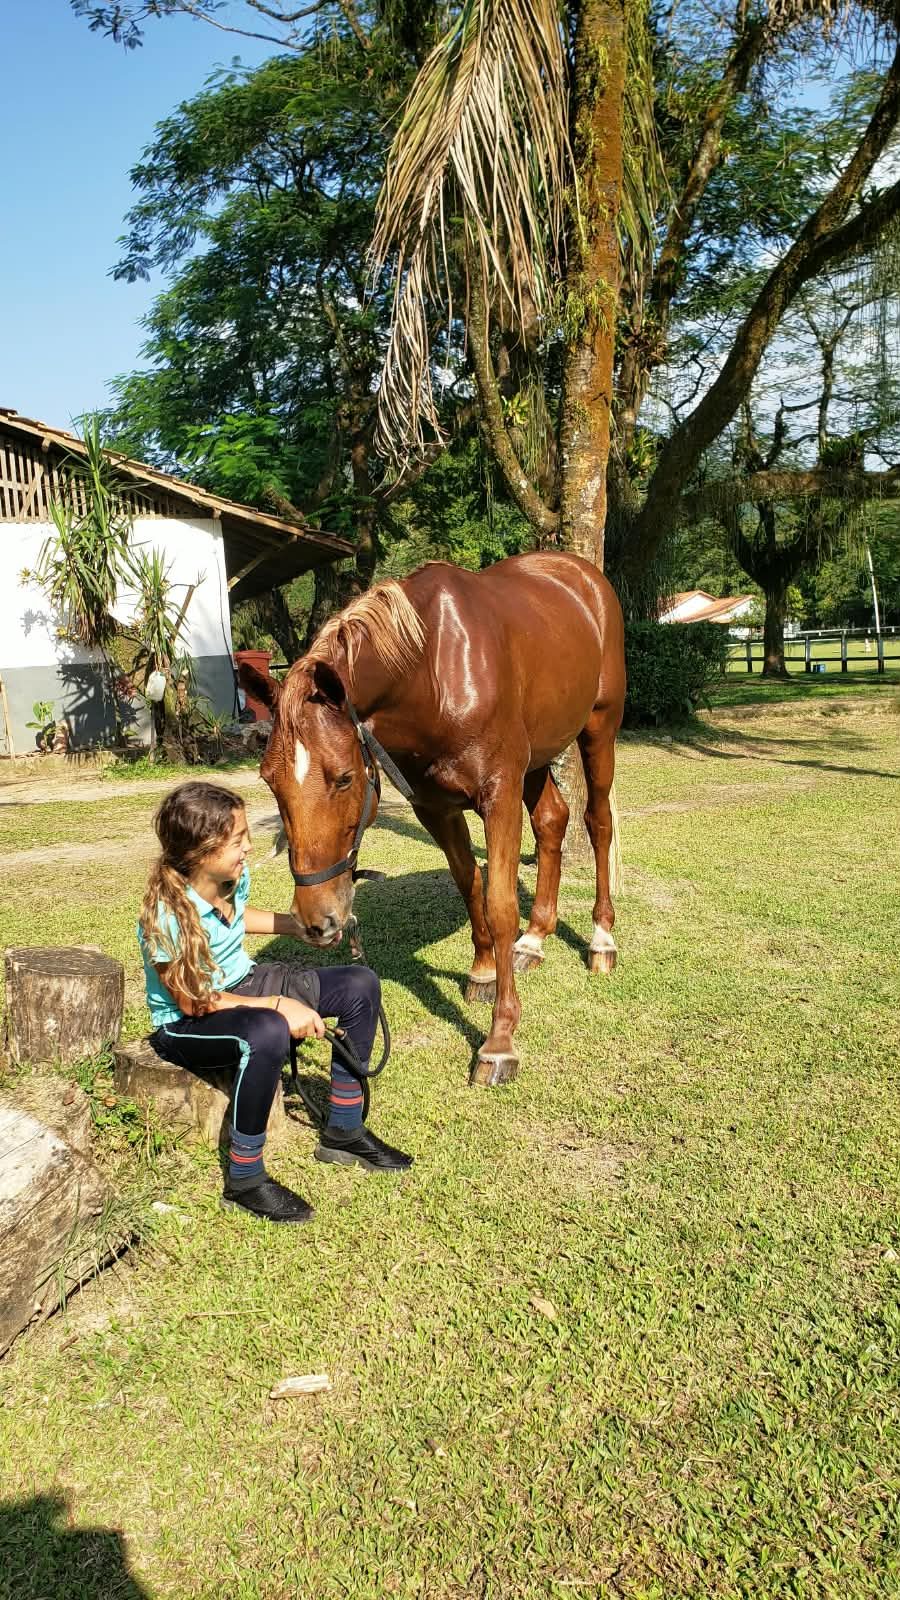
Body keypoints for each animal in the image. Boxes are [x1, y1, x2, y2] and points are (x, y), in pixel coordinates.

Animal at [239, 551, 625, 1085]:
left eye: (343, 778)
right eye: (269, 780)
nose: (318, 920)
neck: (435, 673)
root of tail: (582, 575)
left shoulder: (499, 797)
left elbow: (500, 903)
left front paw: (500, 1039)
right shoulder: (434, 807)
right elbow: (469, 884)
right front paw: (484, 970)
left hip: (598, 730)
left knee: (597, 821)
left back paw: (601, 939)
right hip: (537, 757)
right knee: (552, 821)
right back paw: (534, 939)